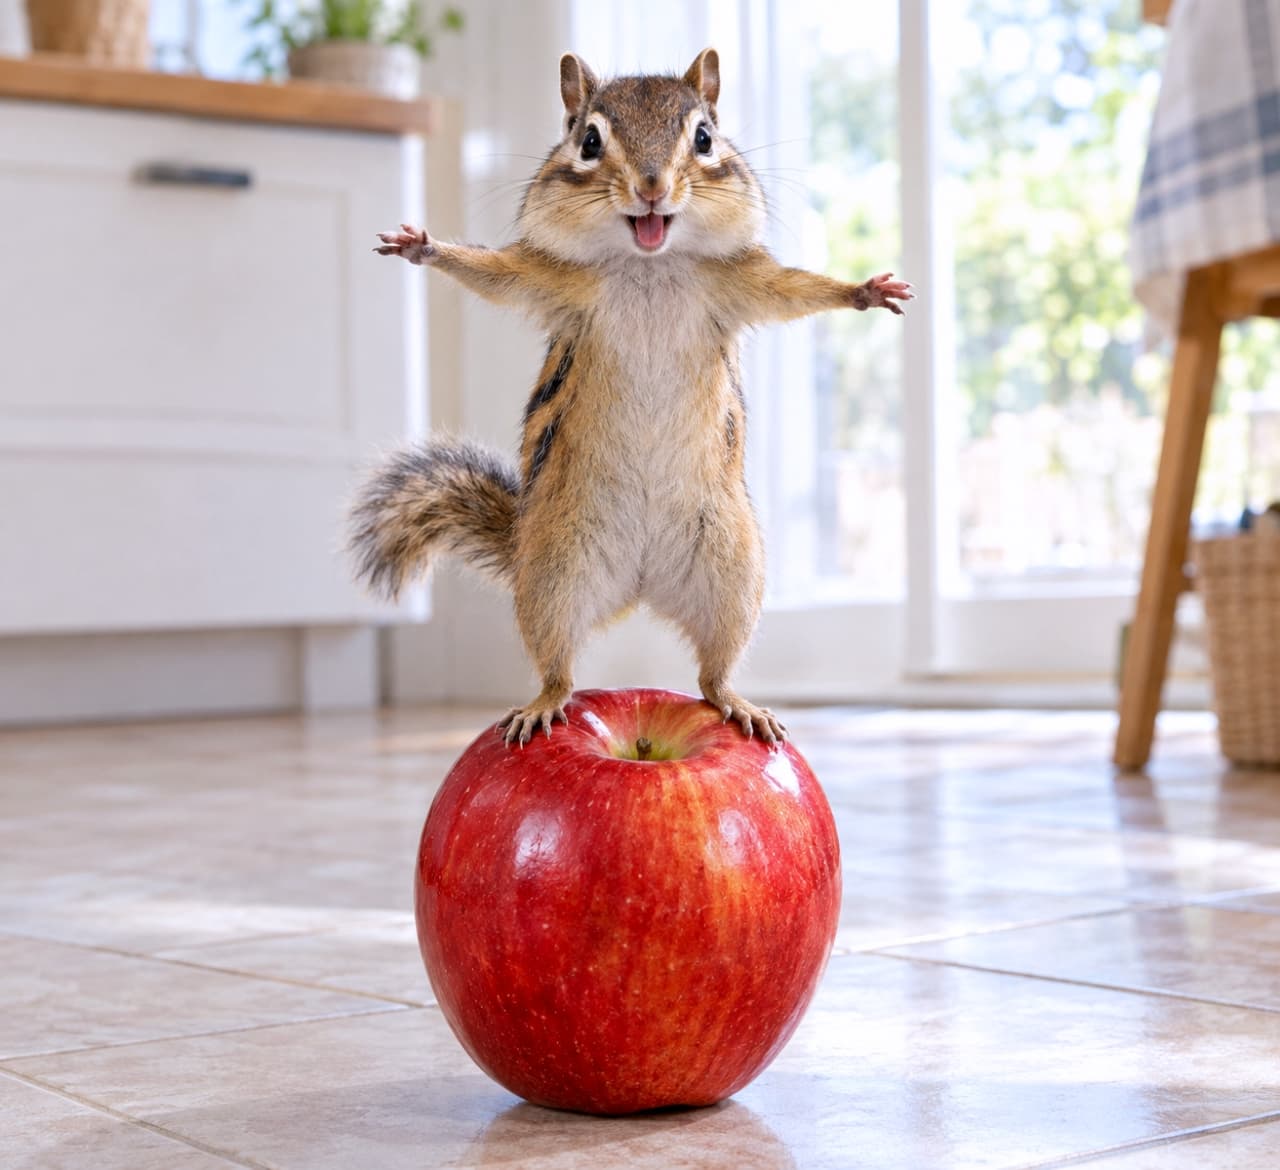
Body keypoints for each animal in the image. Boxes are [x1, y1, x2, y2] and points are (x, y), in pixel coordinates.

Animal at [352, 48, 912, 746]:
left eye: (704, 138)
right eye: (589, 140)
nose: (650, 186)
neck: (650, 260)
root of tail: (641, 585)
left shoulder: (744, 281)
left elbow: (798, 290)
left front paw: (866, 290)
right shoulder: (545, 276)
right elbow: (492, 273)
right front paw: (422, 246)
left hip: (733, 575)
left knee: (712, 671)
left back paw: (738, 703)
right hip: (554, 577)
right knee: (558, 665)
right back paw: (544, 703)